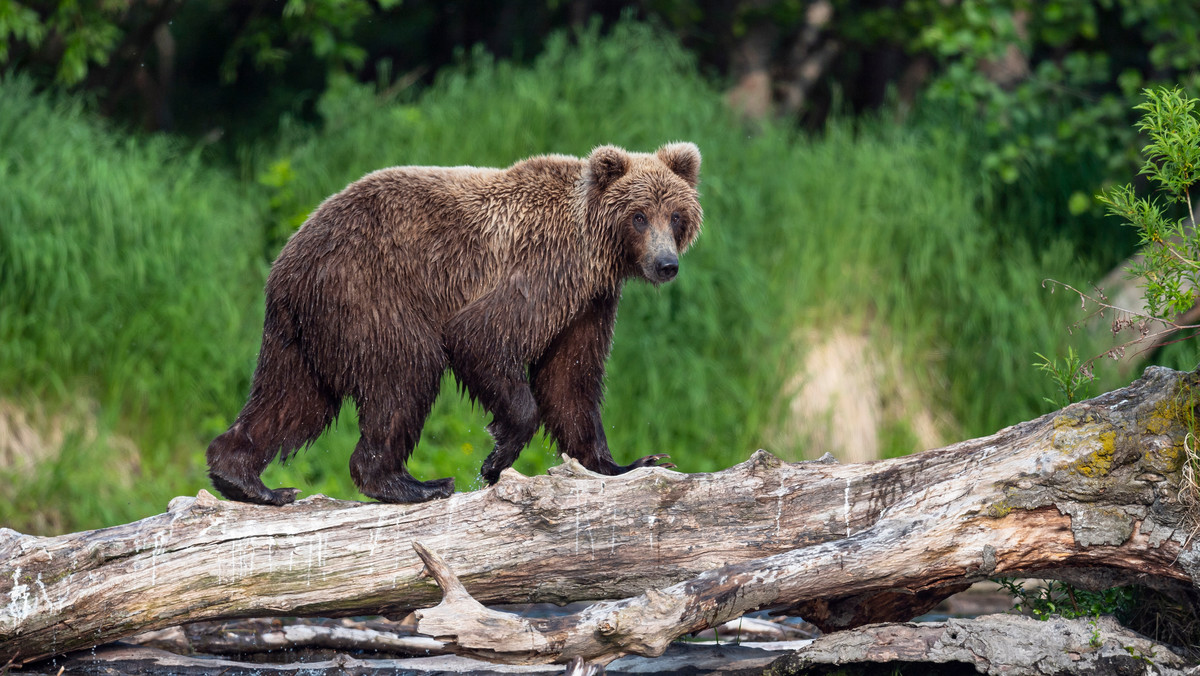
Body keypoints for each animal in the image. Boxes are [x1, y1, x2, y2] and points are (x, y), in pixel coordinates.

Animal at [202, 141, 700, 501]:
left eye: (676, 215)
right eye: (639, 216)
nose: (666, 264)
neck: (593, 253)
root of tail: (286, 261)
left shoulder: (588, 304)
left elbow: (570, 381)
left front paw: (633, 463)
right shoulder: (539, 272)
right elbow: (481, 336)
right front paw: (495, 459)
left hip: (306, 332)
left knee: (293, 400)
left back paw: (247, 480)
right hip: (368, 292)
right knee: (405, 372)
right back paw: (413, 484)